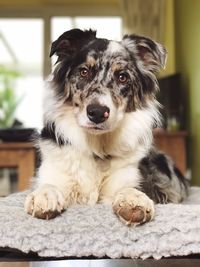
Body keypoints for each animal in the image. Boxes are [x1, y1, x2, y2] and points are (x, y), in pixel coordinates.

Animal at [24, 29, 188, 226]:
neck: (97, 147)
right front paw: (45, 195)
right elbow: (49, 184)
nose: (97, 113)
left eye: (122, 77)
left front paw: (133, 199)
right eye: (84, 72)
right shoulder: (55, 172)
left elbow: (128, 189)